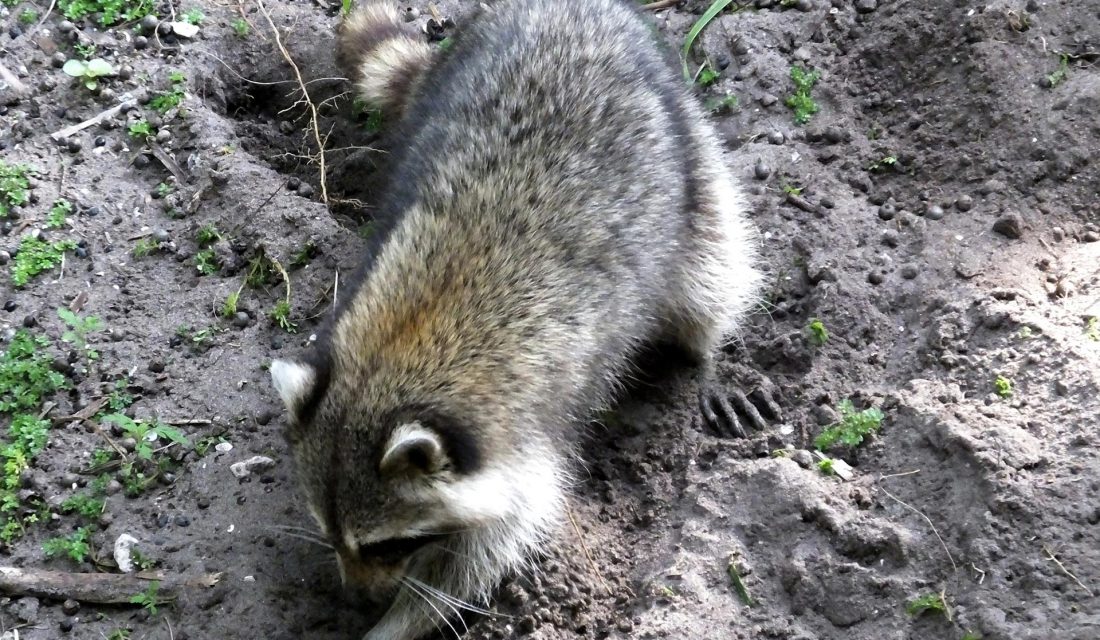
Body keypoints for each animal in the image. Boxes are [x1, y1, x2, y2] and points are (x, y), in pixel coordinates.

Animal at [269, 2, 761, 637]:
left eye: (387, 544)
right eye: (330, 534)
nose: (357, 600)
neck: (401, 347)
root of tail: (568, 10)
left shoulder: (526, 442)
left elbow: (483, 555)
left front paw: (401, 619)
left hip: (687, 145)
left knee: (710, 267)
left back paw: (706, 353)